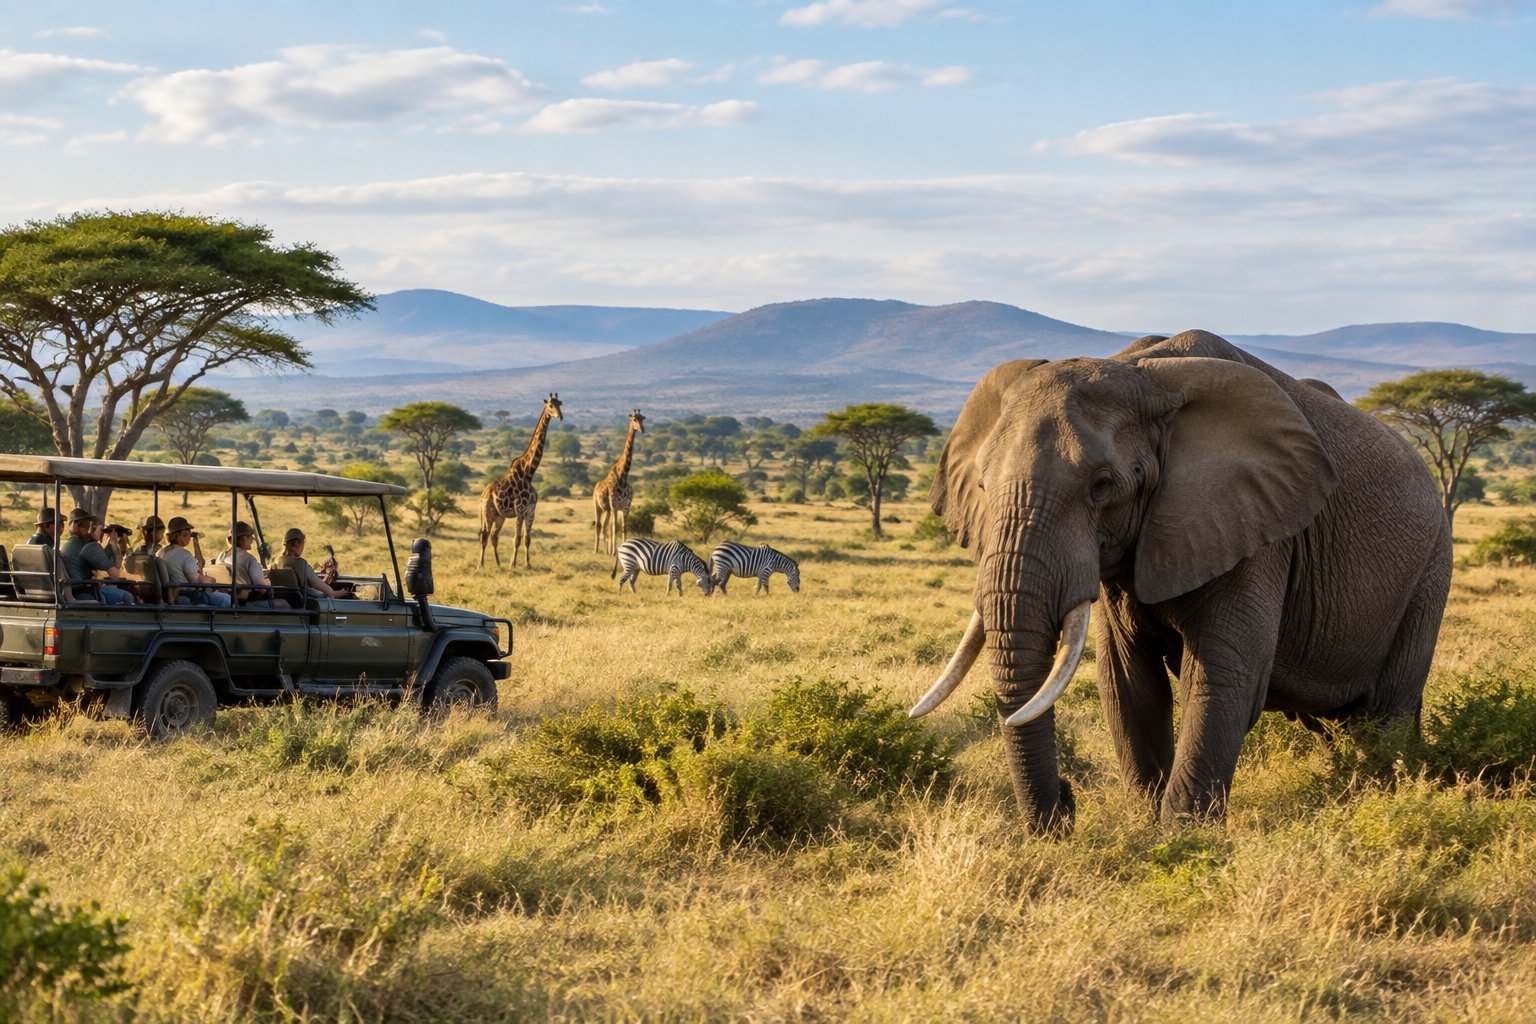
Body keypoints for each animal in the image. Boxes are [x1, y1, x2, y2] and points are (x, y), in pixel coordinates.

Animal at [910, 330, 1452, 830]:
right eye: (983, 485)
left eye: (1102, 486)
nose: (1066, 803)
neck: (1144, 374)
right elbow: (1128, 681)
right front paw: (1147, 825)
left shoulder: (1257, 528)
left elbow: (1219, 676)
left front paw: (1185, 838)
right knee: (1338, 723)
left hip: (1430, 571)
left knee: (1385, 713)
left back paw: (1382, 799)